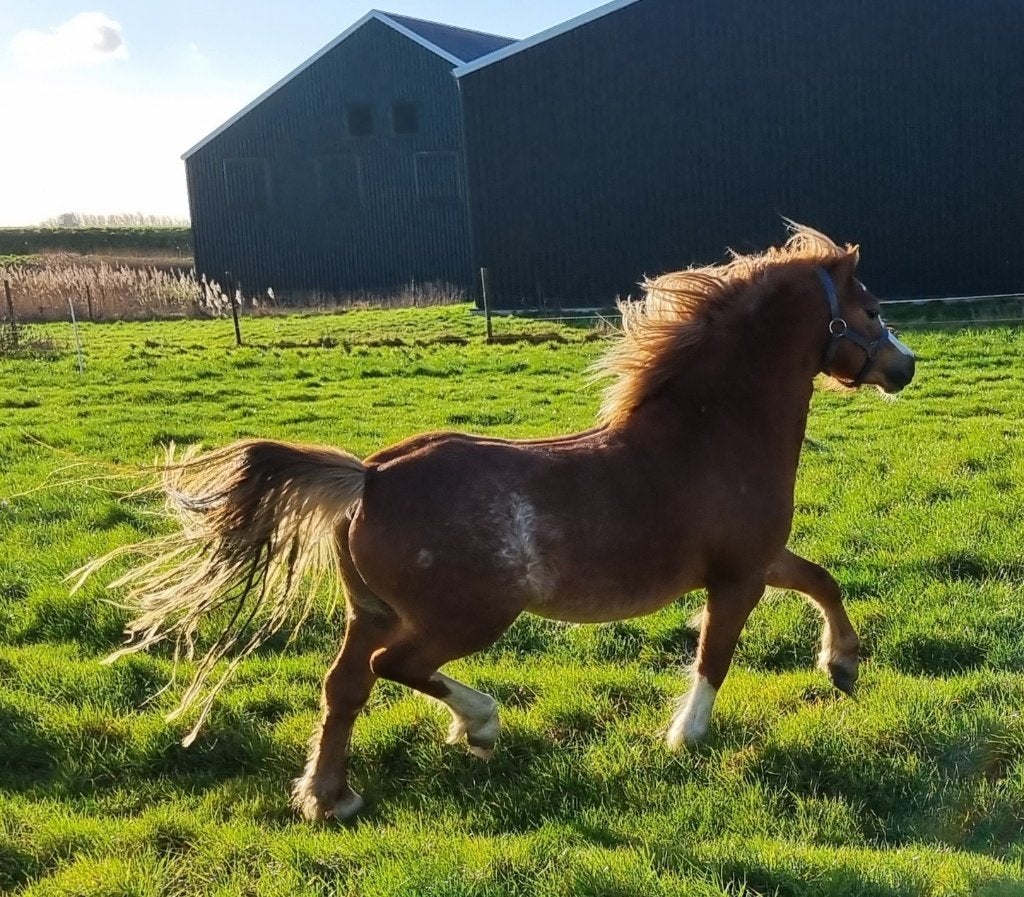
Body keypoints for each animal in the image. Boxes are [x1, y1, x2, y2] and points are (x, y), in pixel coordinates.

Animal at [84, 226, 915, 822]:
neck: (710, 432)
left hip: (370, 609)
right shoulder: (736, 574)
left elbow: (821, 580)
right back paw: (477, 724)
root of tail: (370, 476)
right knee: (395, 667)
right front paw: (686, 735)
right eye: (872, 308)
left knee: (344, 683)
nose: (904, 367)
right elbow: (714, 656)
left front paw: (843, 665)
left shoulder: (758, 557)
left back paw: (331, 795)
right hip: (467, 615)